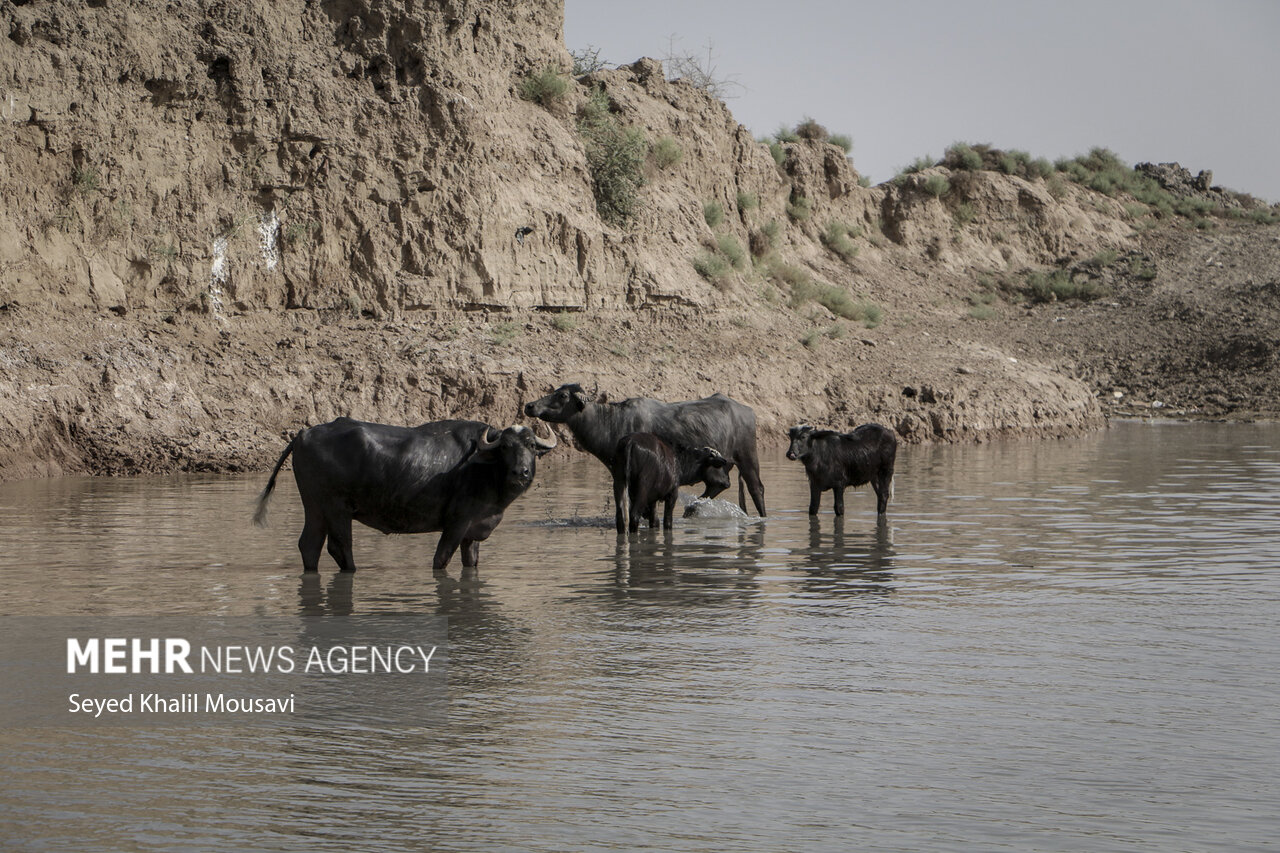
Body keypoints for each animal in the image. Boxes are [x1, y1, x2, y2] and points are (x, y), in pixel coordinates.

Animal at [250, 417, 555, 571]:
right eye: (505, 447)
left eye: (530, 445)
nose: (520, 472)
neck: (483, 468)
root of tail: (303, 434)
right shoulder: (456, 524)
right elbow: (441, 558)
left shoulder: (472, 532)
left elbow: (471, 563)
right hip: (336, 508)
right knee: (339, 547)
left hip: (315, 507)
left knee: (309, 546)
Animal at [522, 384, 762, 512]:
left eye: (562, 395)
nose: (530, 406)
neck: (612, 423)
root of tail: (747, 411)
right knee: (718, 485)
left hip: (747, 458)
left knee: (755, 489)